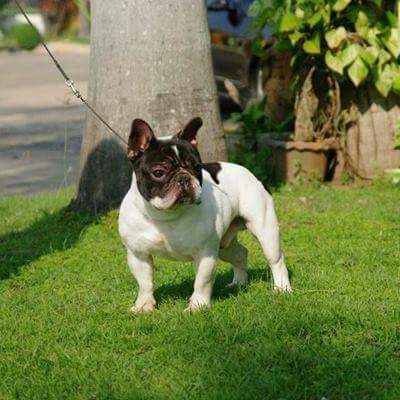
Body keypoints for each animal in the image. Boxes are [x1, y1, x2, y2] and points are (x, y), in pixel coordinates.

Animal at [118, 117, 292, 312]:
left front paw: (197, 306)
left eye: (196, 167)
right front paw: (144, 305)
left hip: (265, 231)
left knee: (276, 260)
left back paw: (282, 288)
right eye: (158, 172)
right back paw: (239, 283)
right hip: (224, 245)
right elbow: (144, 283)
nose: (184, 177)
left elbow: (202, 281)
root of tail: (249, 172)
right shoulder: (138, 254)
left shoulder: (205, 254)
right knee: (241, 253)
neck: (165, 215)